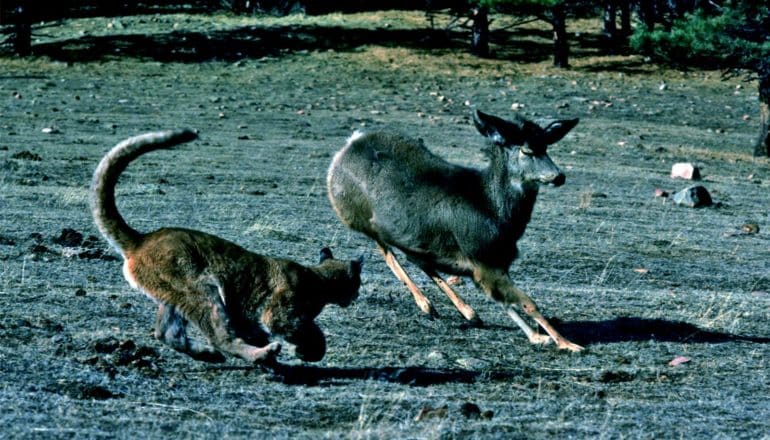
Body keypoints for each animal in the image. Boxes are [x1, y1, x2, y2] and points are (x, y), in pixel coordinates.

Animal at [91, 129, 364, 362]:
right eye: (358, 283)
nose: (356, 296)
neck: (319, 279)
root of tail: (142, 239)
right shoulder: (279, 313)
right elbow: (311, 333)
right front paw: (306, 352)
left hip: (173, 296)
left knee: (167, 333)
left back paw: (210, 355)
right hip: (202, 289)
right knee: (219, 335)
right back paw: (260, 355)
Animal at [326, 109, 584, 350]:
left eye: (547, 147)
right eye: (527, 151)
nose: (558, 176)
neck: (496, 213)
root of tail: (347, 146)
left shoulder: (494, 262)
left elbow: (504, 301)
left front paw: (538, 337)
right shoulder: (483, 257)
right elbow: (528, 302)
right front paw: (568, 343)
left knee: (416, 258)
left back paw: (466, 312)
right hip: (356, 214)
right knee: (387, 251)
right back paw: (428, 305)